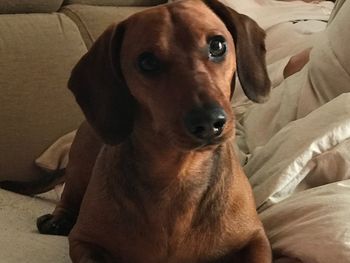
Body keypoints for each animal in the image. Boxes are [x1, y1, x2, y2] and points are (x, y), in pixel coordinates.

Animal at [36, 1, 270, 262]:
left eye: (217, 45)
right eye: (147, 62)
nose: (209, 121)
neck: (178, 174)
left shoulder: (256, 239)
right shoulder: (83, 240)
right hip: (81, 160)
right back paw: (57, 219)